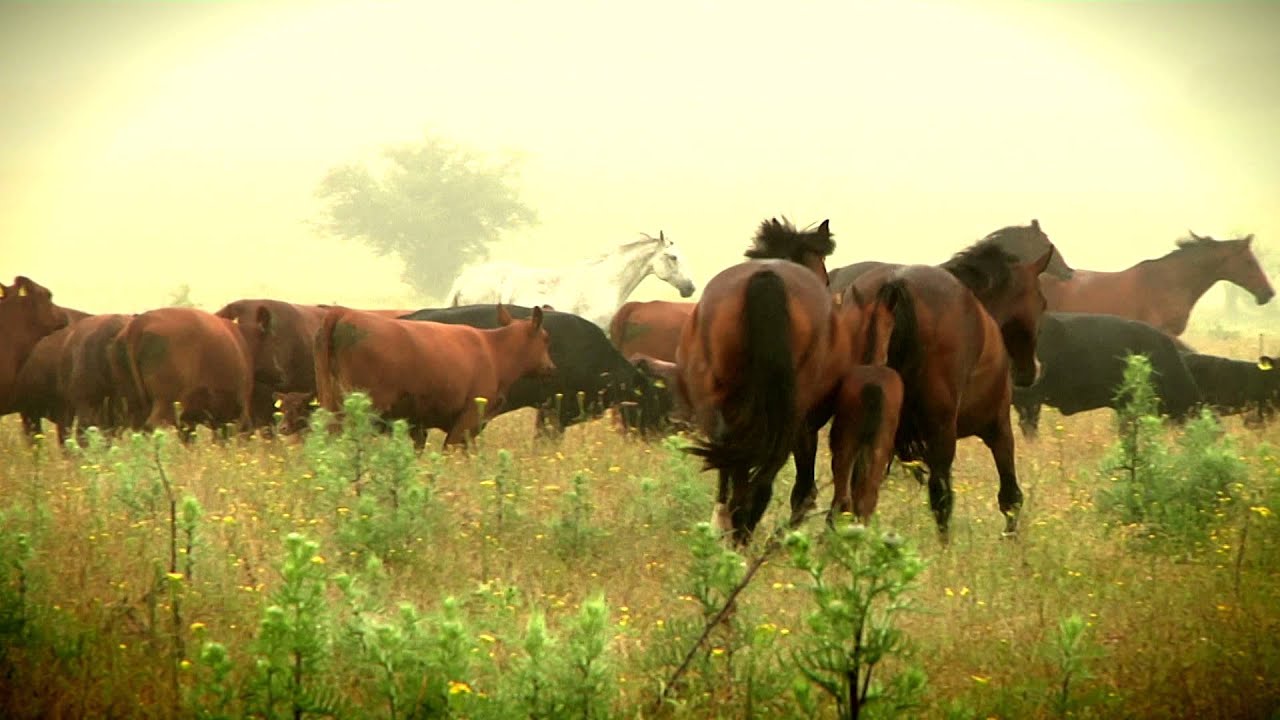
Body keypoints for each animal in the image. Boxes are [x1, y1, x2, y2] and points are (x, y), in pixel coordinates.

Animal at [675, 218, 901, 545]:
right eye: (824, 274)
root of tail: (767, 278)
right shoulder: (808, 427)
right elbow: (805, 490)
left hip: (733, 412)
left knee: (739, 474)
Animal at [846, 241, 1054, 540]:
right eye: (1042, 302)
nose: (1030, 372)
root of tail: (895, 285)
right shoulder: (998, 427)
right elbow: (1010, 496)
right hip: (942, 432)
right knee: (940, 497)